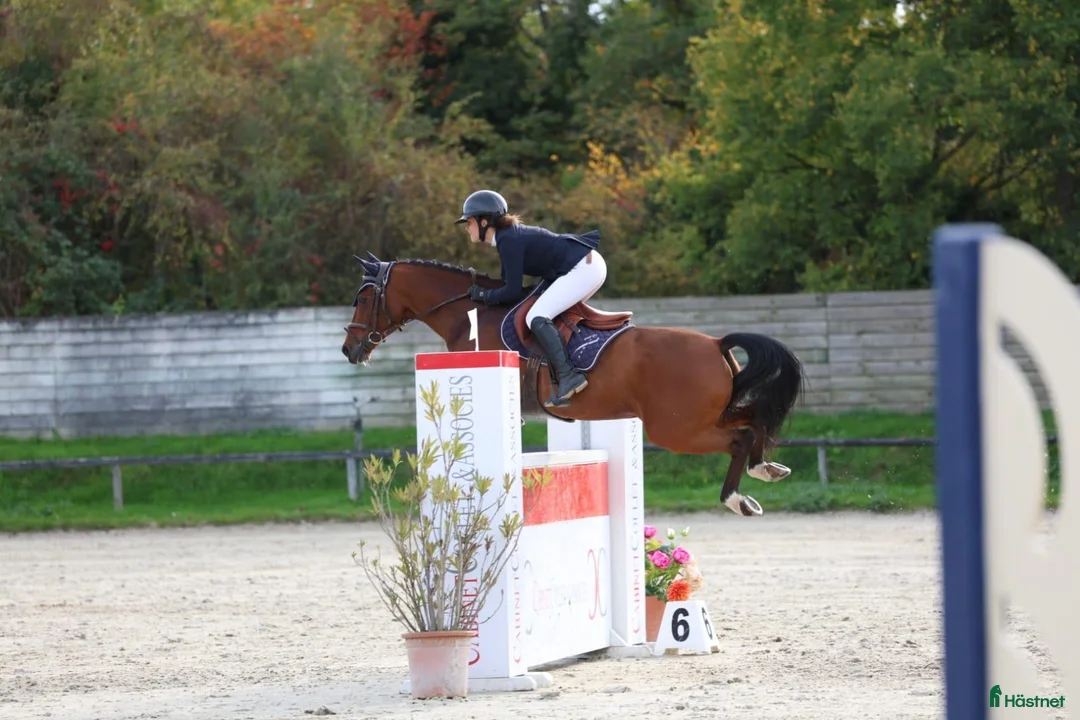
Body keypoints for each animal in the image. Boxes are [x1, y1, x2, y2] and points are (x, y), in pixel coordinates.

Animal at [341, 253, 807, 517]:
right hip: (702, 416)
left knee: (739, 437)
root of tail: (715, 342)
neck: (468, 313)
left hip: (677, 429)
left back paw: (736, 498)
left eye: (362, 298)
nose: (350, 348)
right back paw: (766, 468)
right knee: (754, 420)